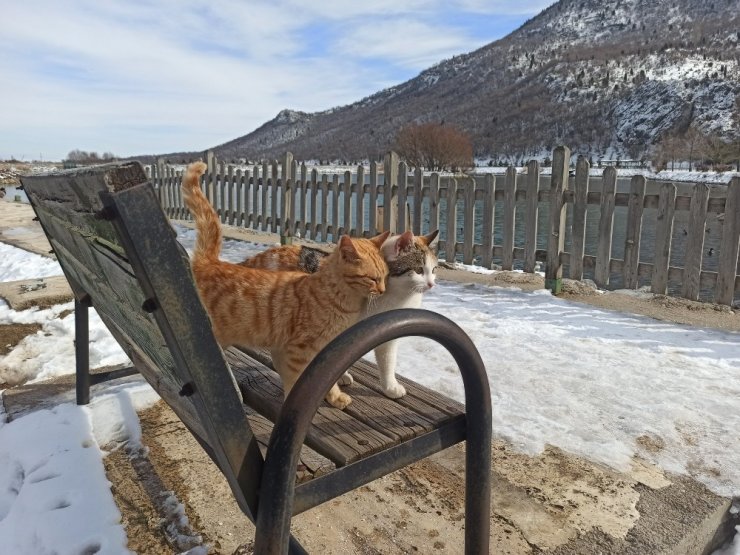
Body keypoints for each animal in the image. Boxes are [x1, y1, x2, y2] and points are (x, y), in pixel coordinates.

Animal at [182, 161, 390, 408]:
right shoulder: (299, 351)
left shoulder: (318, 351)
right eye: (373, 278)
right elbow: (296, 382)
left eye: (385, 276)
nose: (383, 290)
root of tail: (209, 261)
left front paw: (334, 395)